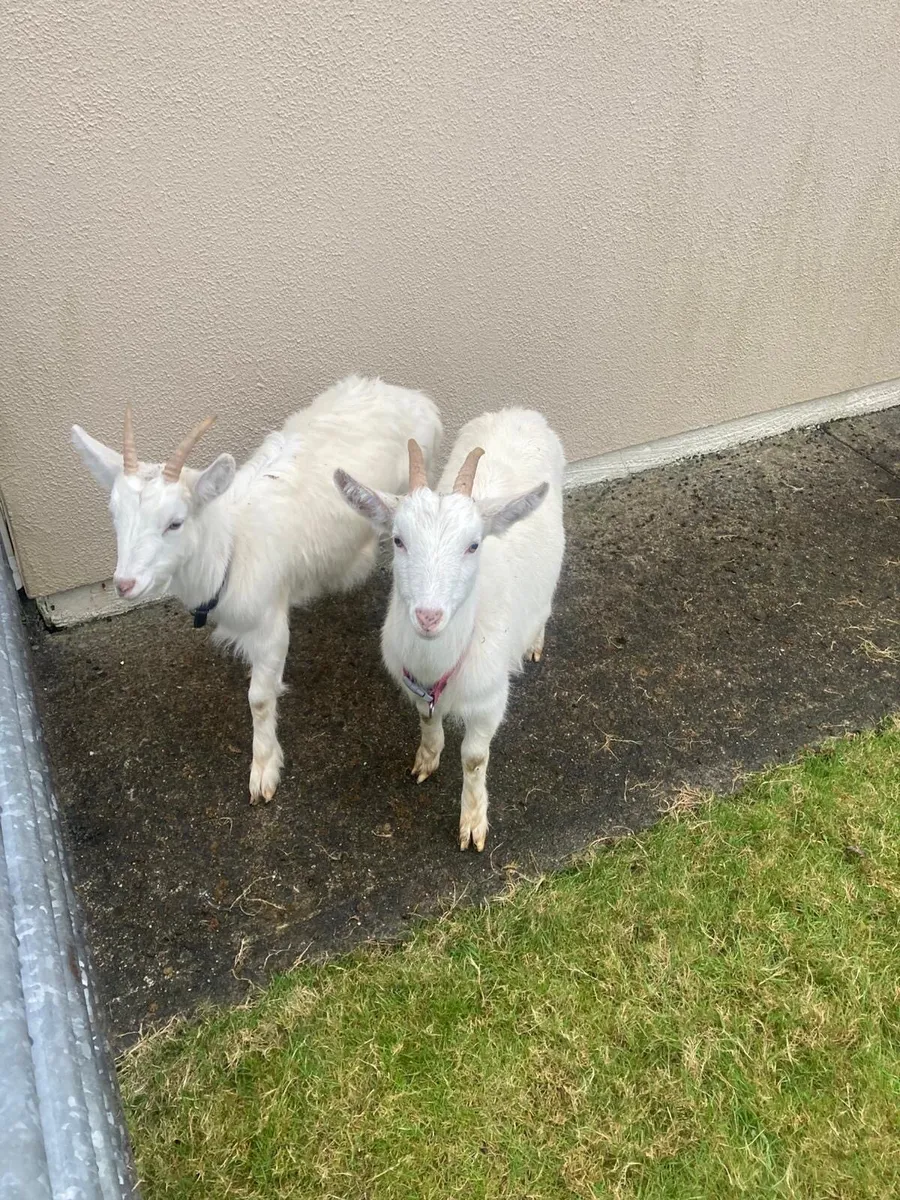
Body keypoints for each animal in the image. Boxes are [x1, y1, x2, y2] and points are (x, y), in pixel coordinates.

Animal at [72, 375, 442, 802]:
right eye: (114, 515)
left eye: (175, 523)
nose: (124, 583)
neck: (231, 548)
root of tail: (414, 397)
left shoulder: (270, 625)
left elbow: (260, 699)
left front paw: (264, 769)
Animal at [335, 408, 565, 849]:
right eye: (398, 540)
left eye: (473, 545)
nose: (428, 616)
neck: (439, 663)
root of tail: (521, 413)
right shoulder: (415, 686)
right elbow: (427, 723)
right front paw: (426, 759)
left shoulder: (490, 702)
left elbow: (474, 759)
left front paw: (472, 823)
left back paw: (534, 642)